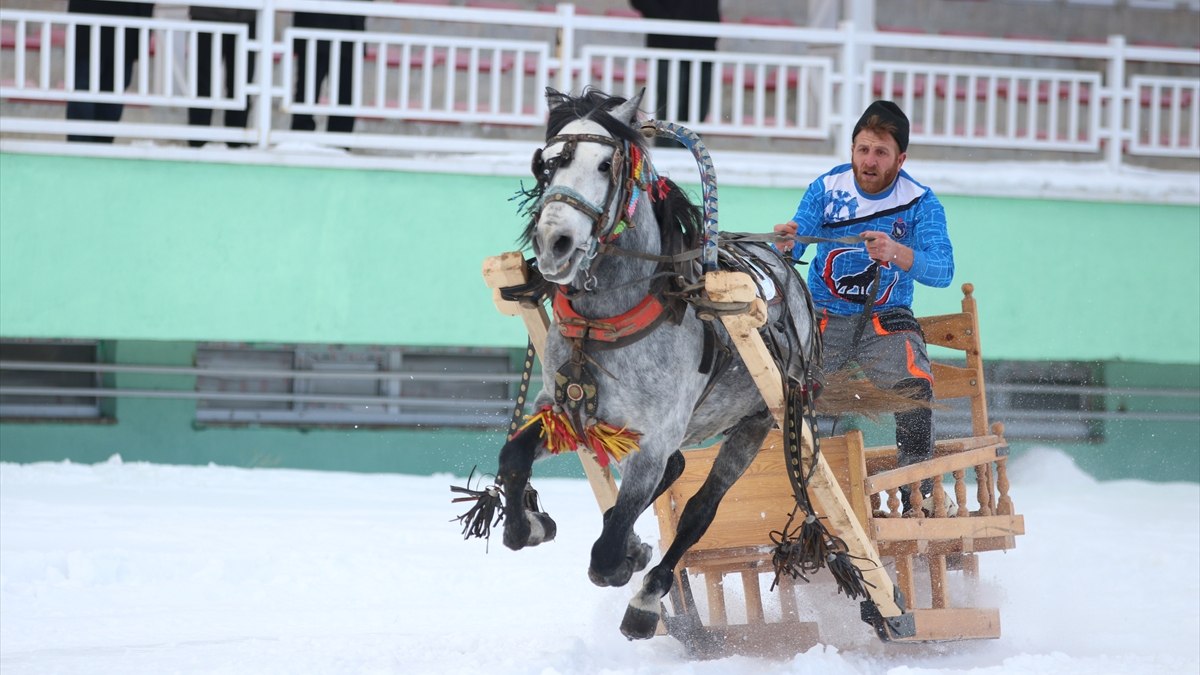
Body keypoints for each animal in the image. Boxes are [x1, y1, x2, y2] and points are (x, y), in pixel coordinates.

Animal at [453, 86, 849, 638]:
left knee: (699, 509)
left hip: (758, 421)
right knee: (672, 473)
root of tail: (784, 268)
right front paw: (526, 523)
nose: (553, 242)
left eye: (605, 165)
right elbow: (514, 456)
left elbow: (610, 550)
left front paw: (630, 567)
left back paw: (648, 591)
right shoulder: (564, 411)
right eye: (547, 165)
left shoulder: (654, 438)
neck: (605, 321)